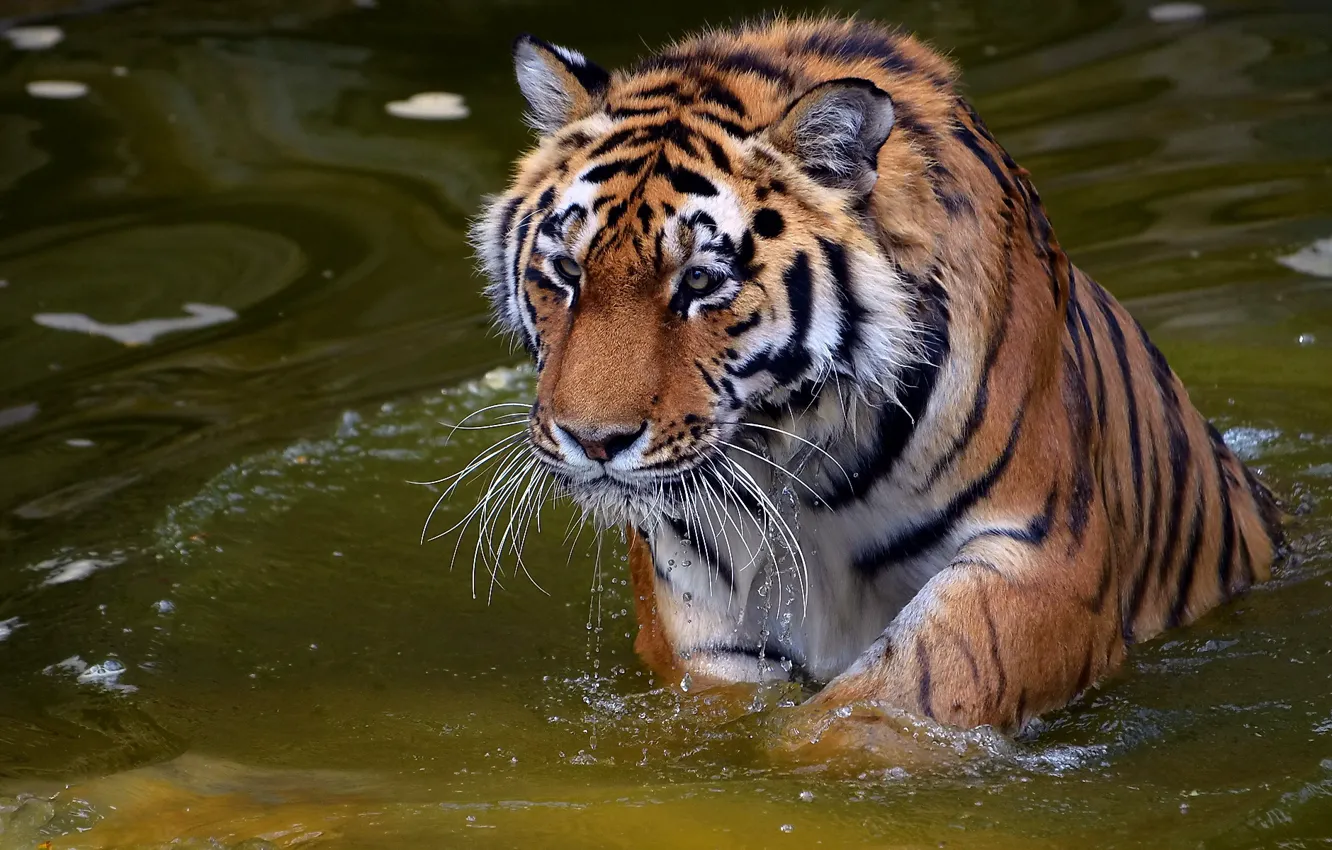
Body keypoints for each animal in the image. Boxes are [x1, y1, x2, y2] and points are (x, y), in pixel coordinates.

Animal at [468, 15, 1284, 734]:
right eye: (566, 272)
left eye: (700, 281)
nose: (592, 442)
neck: (796, 456)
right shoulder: (700, 602)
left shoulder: (1045, 554)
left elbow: (907, 690)